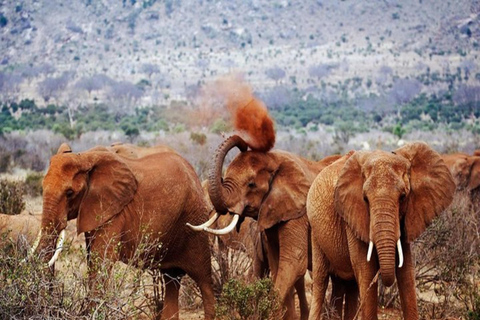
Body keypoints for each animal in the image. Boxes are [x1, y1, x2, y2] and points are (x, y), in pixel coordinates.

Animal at [32, 143, 216, 320]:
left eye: (70, 193)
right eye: (42, 187)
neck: (84, 157)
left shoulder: (115, 212)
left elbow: (101, 261)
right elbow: (92, 260)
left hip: (196, 220)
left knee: (203, 278)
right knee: (171, 278)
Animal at [188, 134, 342, 320]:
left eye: (251, 184)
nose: (244, 142)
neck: (274, 160)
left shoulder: (298, 212)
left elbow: (294, 261)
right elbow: (278, 265)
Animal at [306, 142, 456, 320]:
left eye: (403, 197)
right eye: (365, 199)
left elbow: (406, 273)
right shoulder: (353, 217)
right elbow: (366, 269)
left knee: (346, 285)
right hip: (315, 230)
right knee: (321, 280)